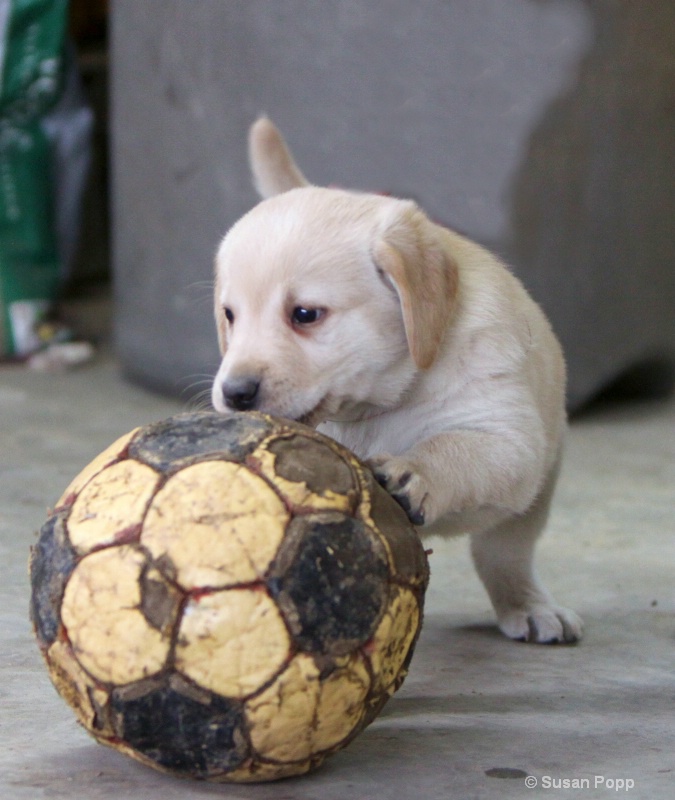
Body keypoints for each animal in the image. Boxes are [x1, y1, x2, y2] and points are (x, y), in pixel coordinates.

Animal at [214, 117, 584, 644]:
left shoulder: (507, 437)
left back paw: (529, 605)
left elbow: (454, 447)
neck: (379, 403)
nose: (235, 393)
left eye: (305, 314)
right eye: (229, 315)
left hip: (539, 488)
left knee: (504, 552)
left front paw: (414, 471)